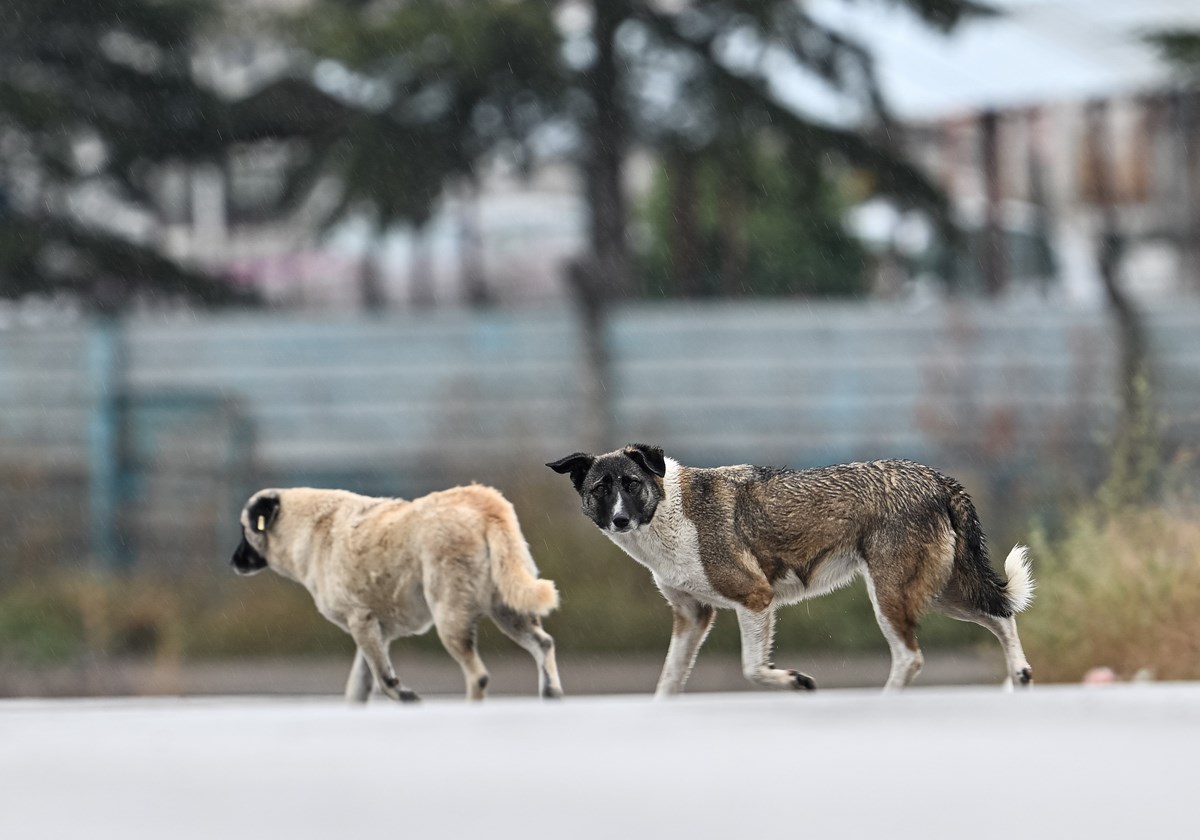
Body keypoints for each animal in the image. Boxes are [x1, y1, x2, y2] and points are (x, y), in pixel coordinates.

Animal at [231, 482, 564, 705]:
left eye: (245, 529)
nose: (233, 562)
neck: (312, 528)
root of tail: (486, 506)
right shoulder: (374, 634)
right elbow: (358, 688)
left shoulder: (362, 623)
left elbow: (386, 681)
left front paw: (409, 698)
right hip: (508, 607)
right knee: (544, 644)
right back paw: (552, 695)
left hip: (450, 617)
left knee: (478, 675)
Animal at [549, 446, 1036, 696]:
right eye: (600, 489)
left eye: (631, 484)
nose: (619, 520)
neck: (669, 512)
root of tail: (937, 478)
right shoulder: (692, 617)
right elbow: (668, 681)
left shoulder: (754, 599)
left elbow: (751, 668)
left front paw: (794, 680)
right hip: (940, 591)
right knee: (1001, 617)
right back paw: (1020, 676)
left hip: (891, 595)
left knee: (911, 657)